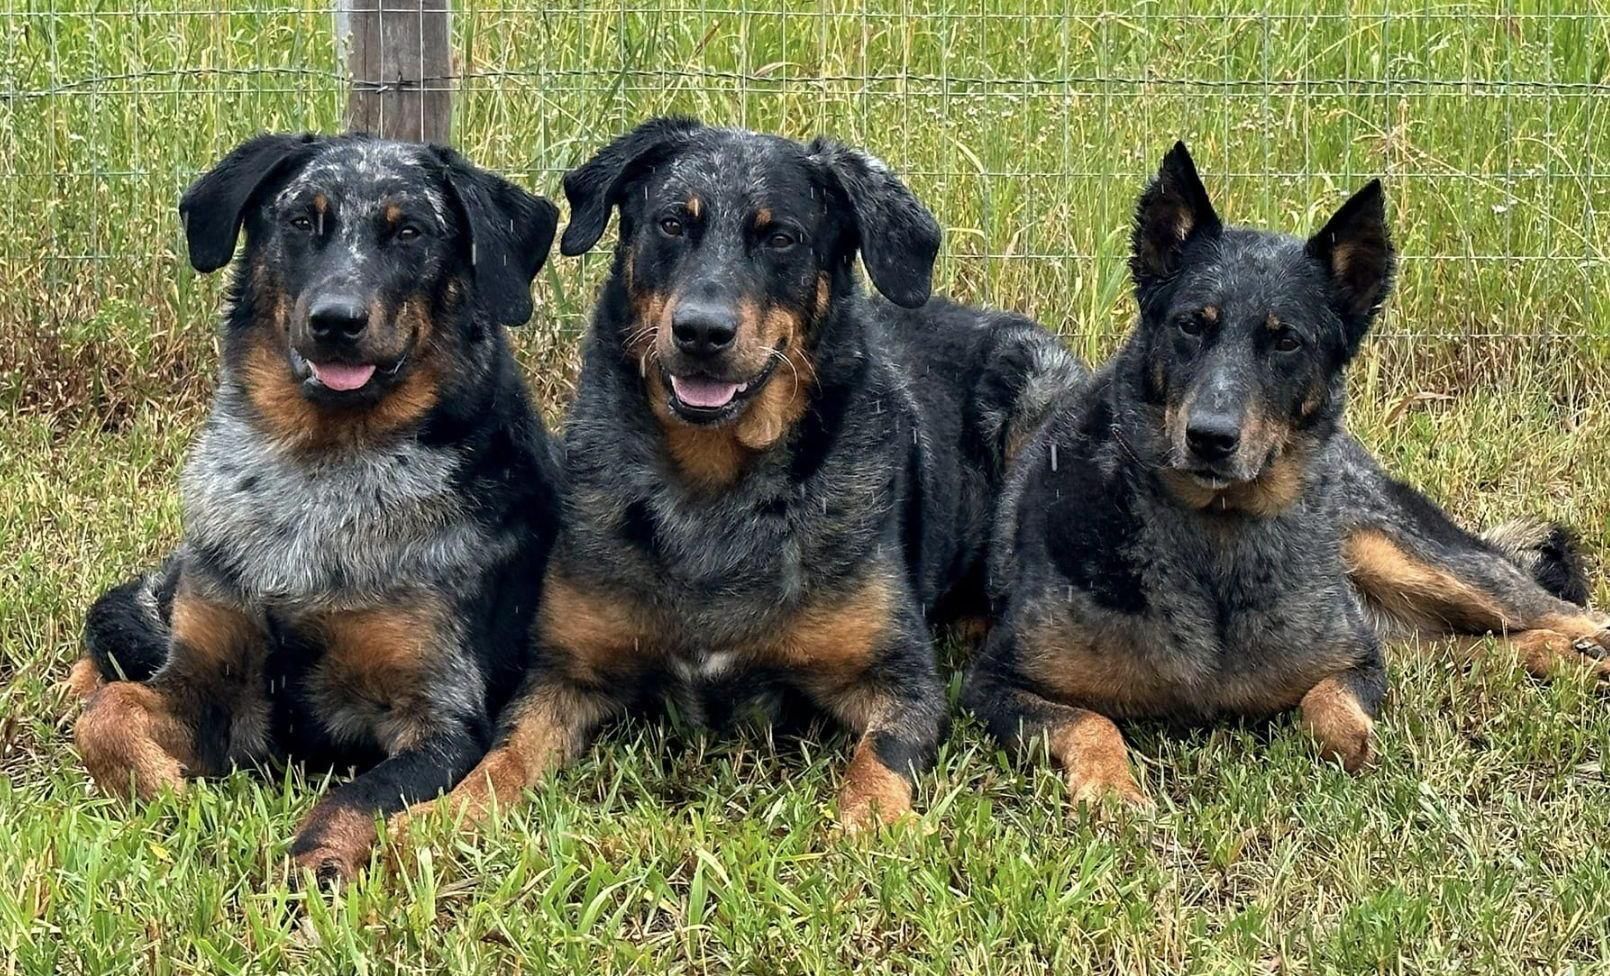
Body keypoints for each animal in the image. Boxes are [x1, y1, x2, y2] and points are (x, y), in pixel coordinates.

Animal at [69, 132, 566, 889]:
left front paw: (314, 864)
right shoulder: (206, 680)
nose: (335, 319)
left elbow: (355, 798)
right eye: (302, 220)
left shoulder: (440, 720)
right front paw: (165, 791)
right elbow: (107, 715)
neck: (321, 475)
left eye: (411, 232)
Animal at [396, 116, 1088, 831]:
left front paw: (868, 825)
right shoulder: (564, 672)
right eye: (673, 223)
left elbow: (878, 762)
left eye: (782, 237)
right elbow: (504, 757)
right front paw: (441, 816)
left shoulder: (900, 680)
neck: (713, 488)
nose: (702, 331)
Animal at [959, 141, 1610, 808]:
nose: (1210, 437)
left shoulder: (1358, 662)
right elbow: (1091, 723)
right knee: (1477, 647)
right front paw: (1114, 791)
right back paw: (1563, 657)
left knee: (1566, 615)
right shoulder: (994, 684)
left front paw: (1356, 742)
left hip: (1408, 556)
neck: (1215, 538)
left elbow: (1327, 706)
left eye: (1287, 341)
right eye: (1191, 325)